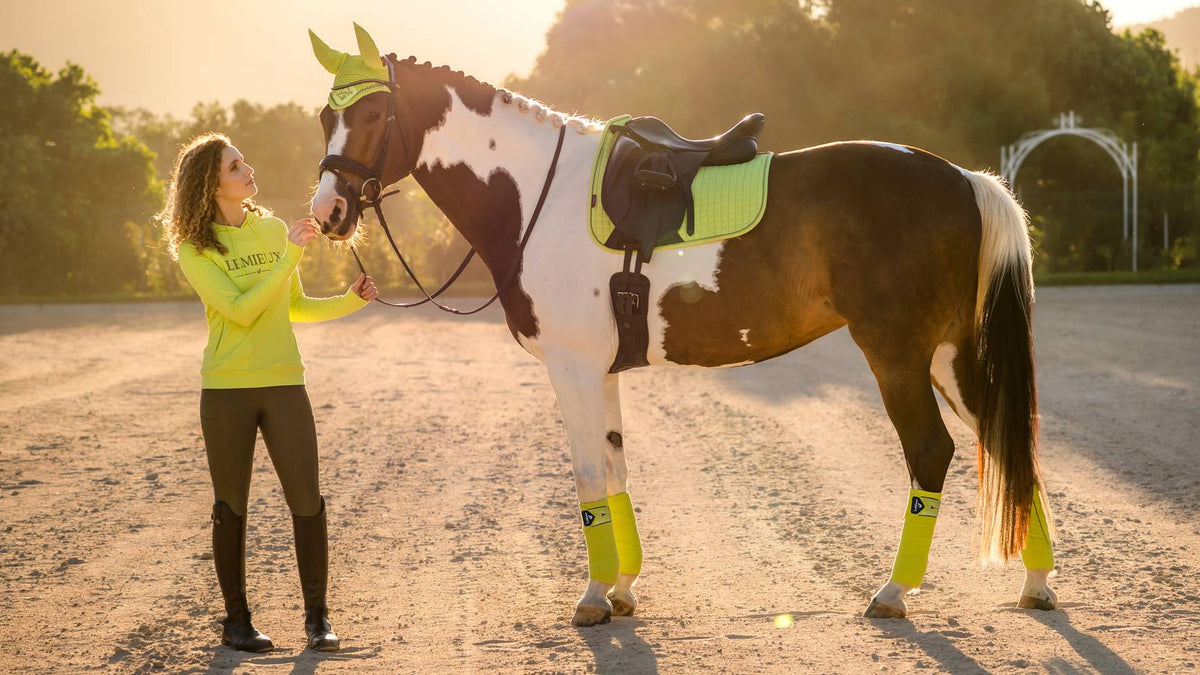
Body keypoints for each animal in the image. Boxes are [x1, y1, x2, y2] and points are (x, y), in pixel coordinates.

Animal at [304, 26, 1056, 624]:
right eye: (321, 116)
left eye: (373, 112)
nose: (327, 212)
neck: (537, 194)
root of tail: (963, 179)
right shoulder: (600, 372)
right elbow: (613, 470)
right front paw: (623, 590)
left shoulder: (572, 369)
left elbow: (587, 476)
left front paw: (592, 598)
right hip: (951, 354)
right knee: (1007, 440)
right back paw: (1038, 583)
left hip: (898, 354)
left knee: (931, 452)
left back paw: (894, 592)